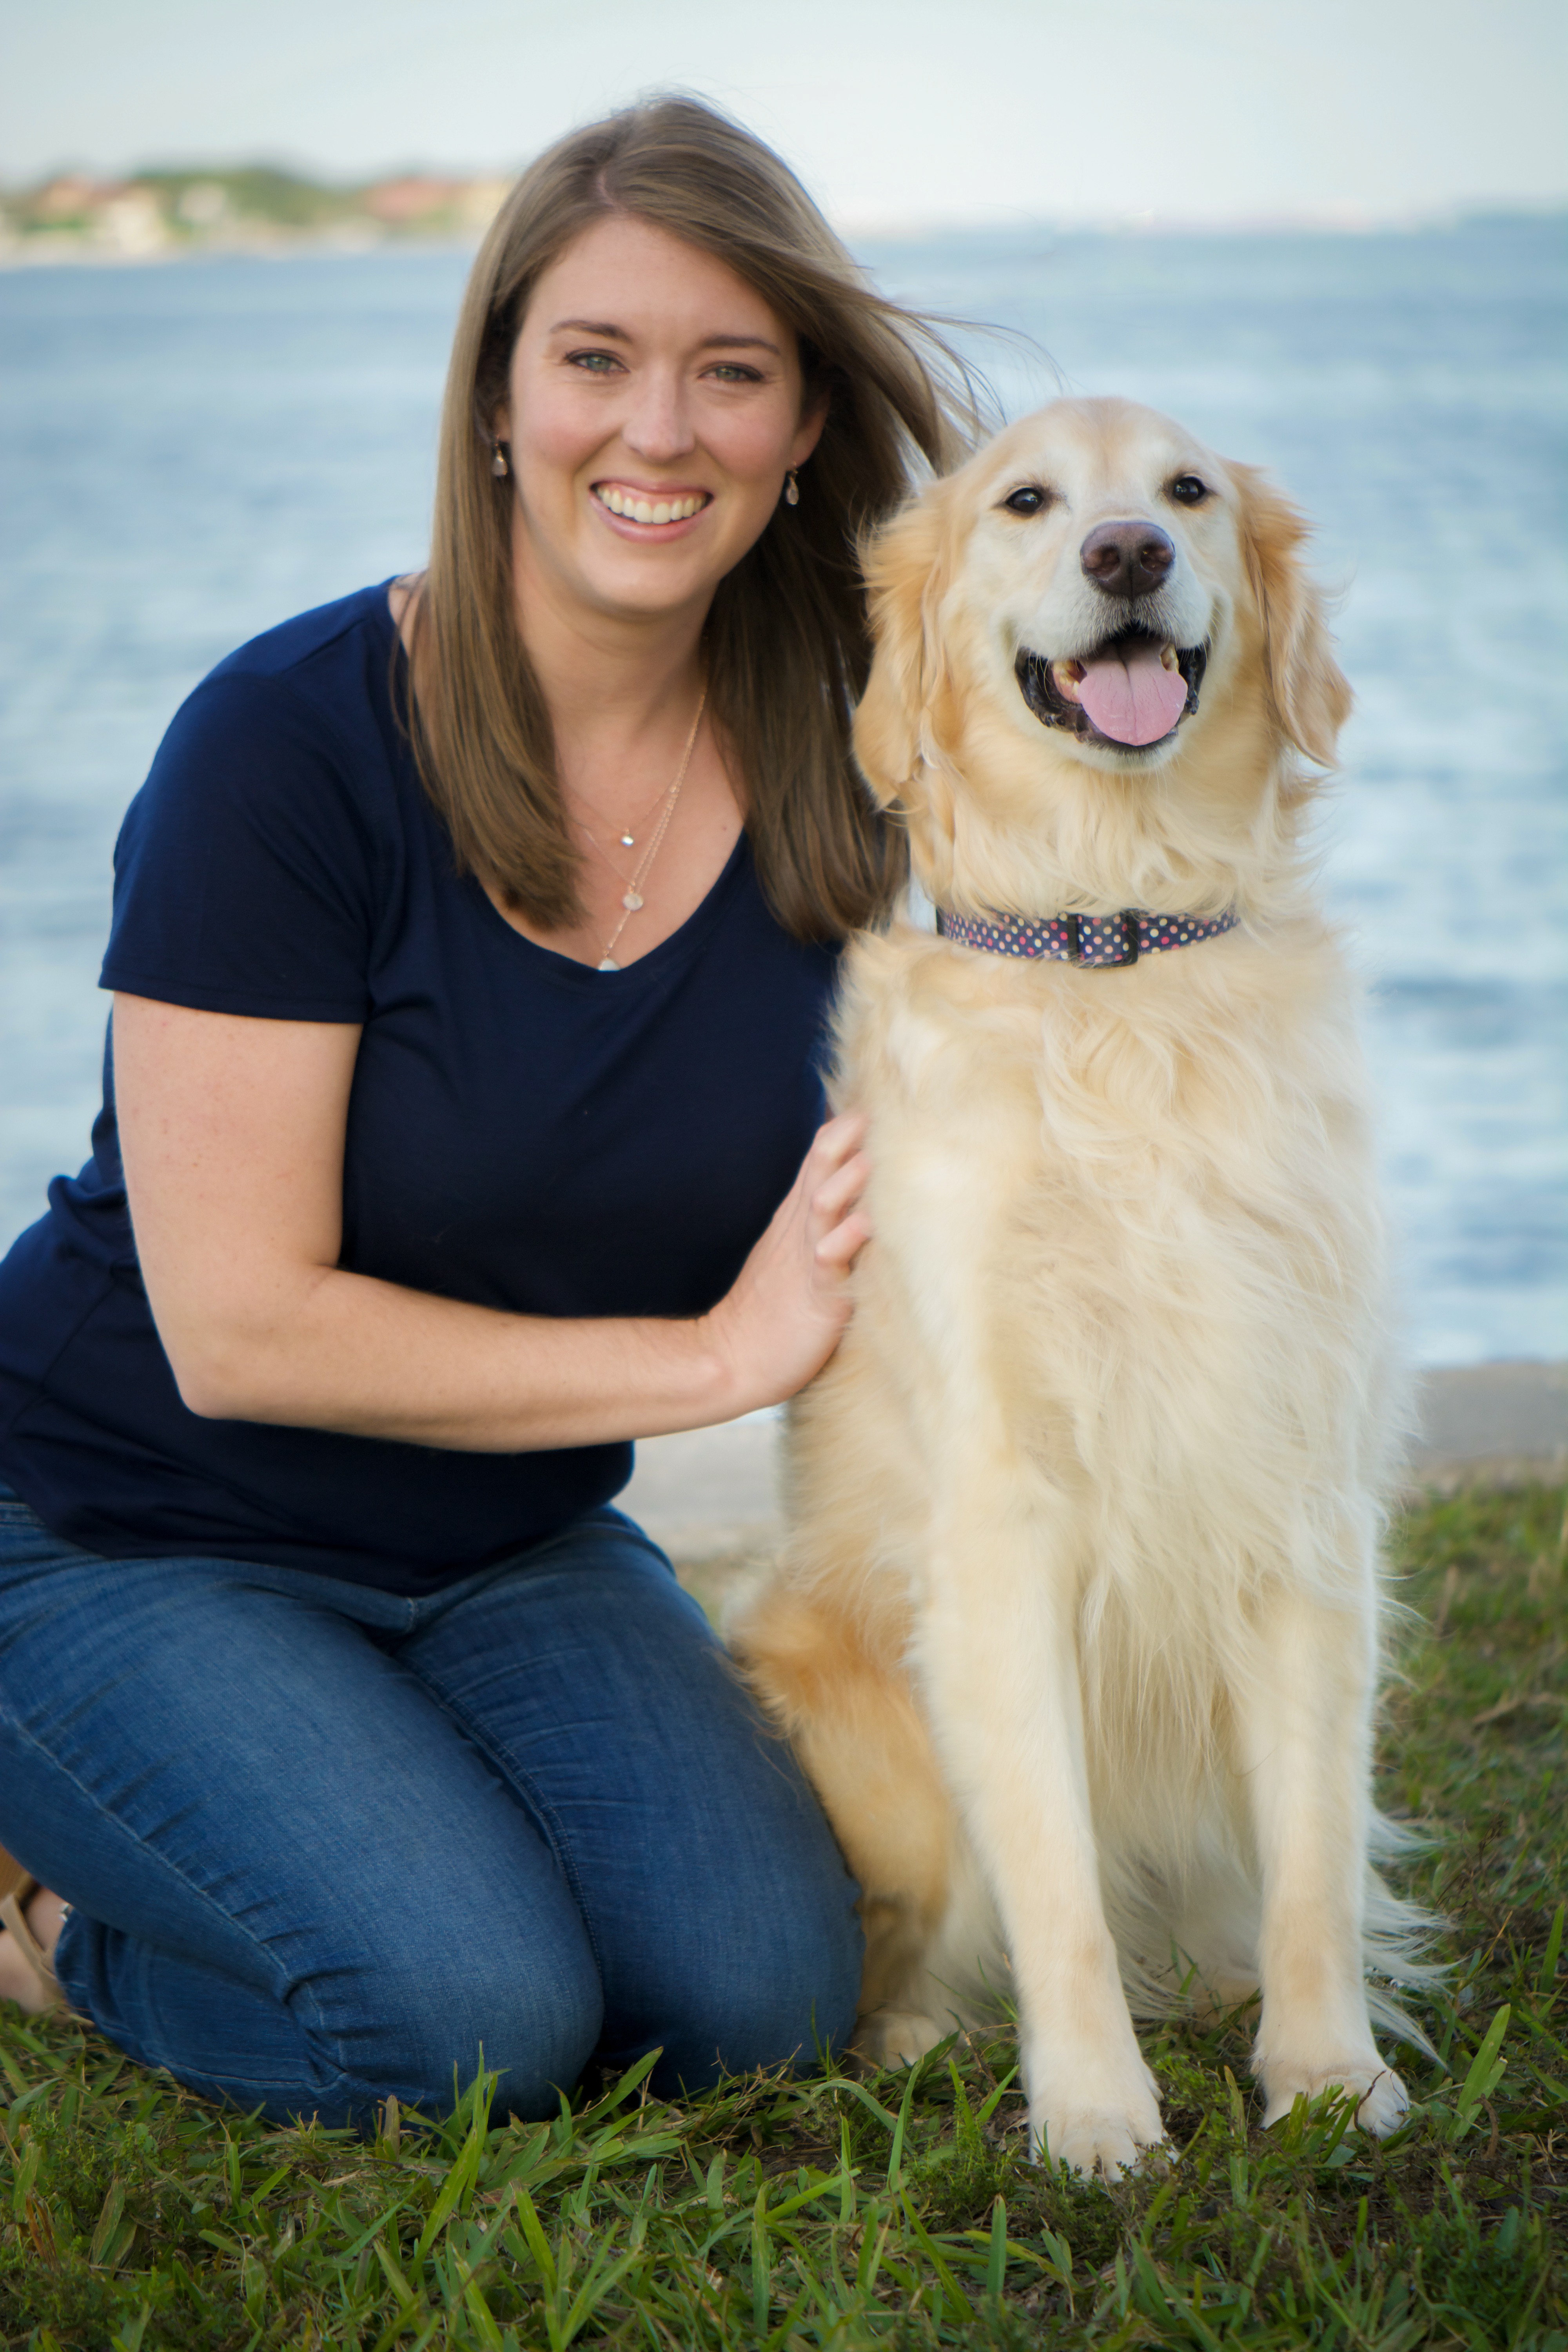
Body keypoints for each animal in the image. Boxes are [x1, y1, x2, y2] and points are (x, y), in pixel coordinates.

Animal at [727, 396, 1436, 2178]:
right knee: (913, 1947)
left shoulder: (1300, 1496)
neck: (1118, 959)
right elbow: (1049, 1875)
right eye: (1026, 501)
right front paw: (1097, 2117)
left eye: (1186, 489)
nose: (1128, 553)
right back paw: (922, 2041)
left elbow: (1314, 1859)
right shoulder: (999, 1520)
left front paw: (1324, 2079)